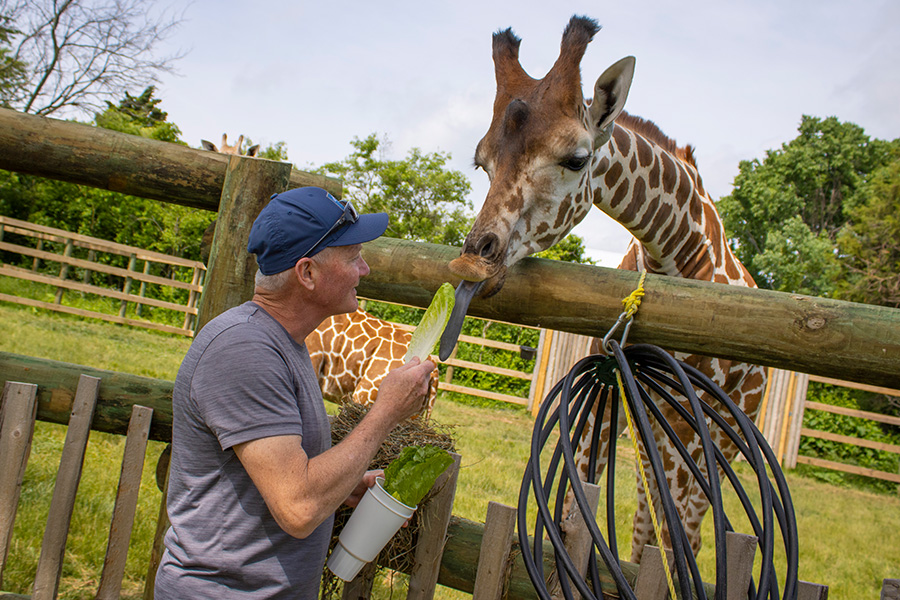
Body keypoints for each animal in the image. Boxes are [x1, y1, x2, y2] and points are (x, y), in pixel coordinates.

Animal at [440, 17, 764, 564]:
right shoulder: (610, 401)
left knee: (687, 528)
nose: (473, 259)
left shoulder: (693, 430)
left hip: (719, 438)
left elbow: (674, 536)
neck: (681, 257)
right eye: (481, 161)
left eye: (576, 159)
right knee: (647, 517)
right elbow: (578, 504)